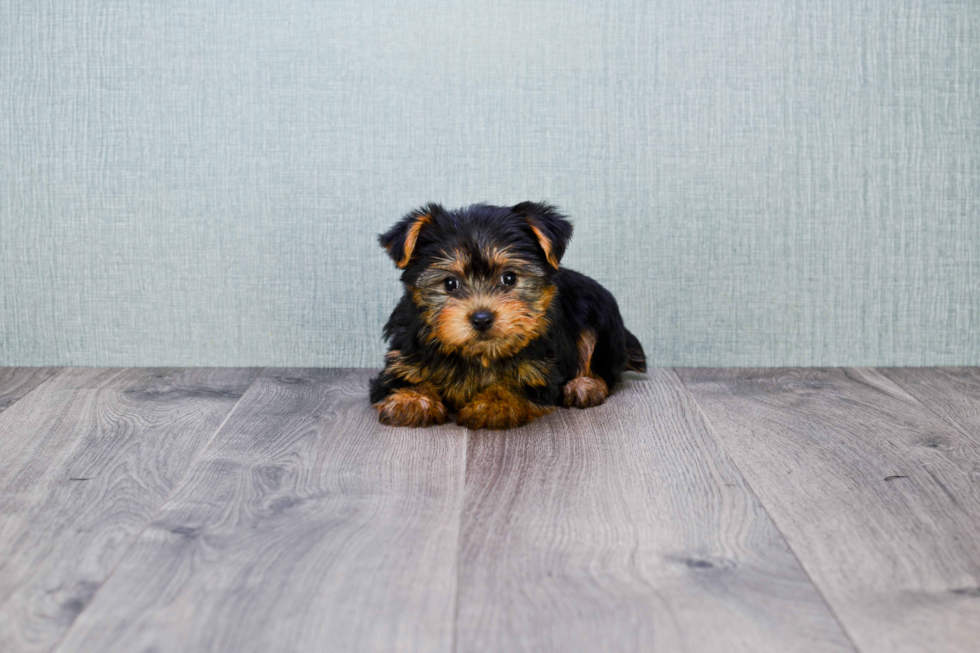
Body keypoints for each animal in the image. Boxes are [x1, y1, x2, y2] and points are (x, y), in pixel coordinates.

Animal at [368, 201, 644, 430]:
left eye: (509, 278)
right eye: (449, 283)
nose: (481, 318)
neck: (480, 354)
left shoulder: (539, 369)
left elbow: (516, 383)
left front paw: (493, 404)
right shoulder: (403, 357)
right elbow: (404, 378)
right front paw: (412, 400)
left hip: (600, 318)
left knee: (599, 360)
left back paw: (585, 385)